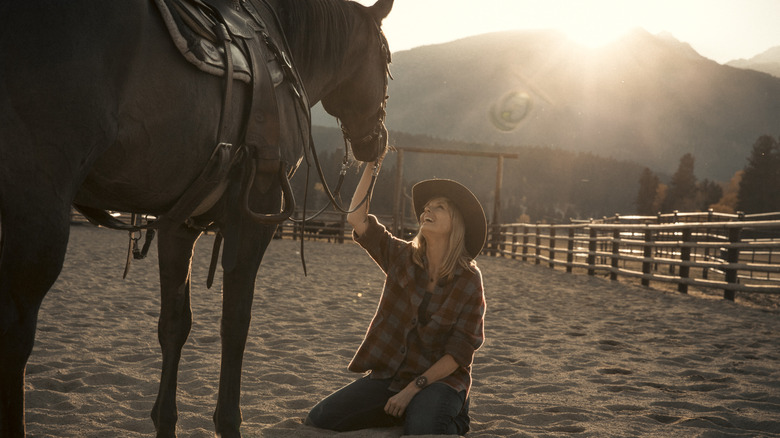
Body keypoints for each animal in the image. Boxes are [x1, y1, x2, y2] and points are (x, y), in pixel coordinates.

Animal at [0, 1, 390, 436]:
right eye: (387, 60)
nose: (378, 140)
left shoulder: (179, 225)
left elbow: (174, 324)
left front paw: (166, 420)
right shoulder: (255, 219)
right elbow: (235, 323)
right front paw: (228, 421)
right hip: (38, 209)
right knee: (14, 335)